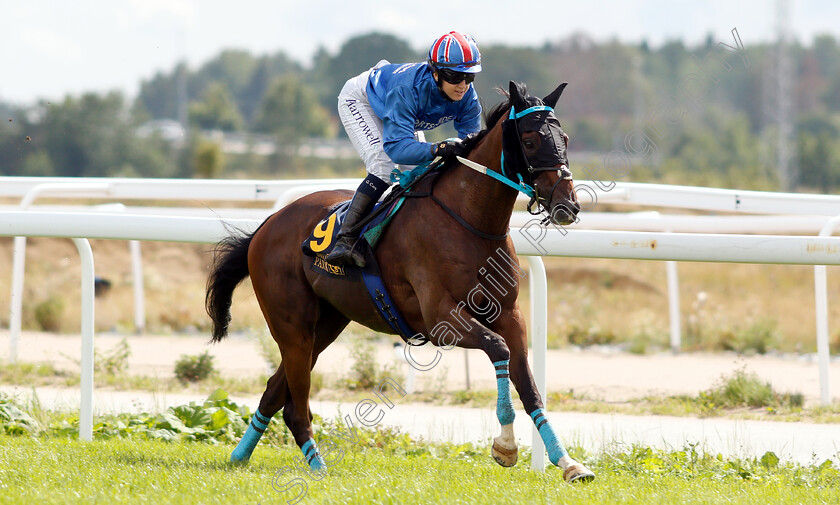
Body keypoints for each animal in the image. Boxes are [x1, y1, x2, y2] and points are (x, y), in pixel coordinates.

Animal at [207, 80, 592, 482]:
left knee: (273, 390)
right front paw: (505, 446)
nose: (568, 204)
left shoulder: (510, 315)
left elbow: (529, 385)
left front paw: (568, 462)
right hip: (292, 325)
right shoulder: (441, 321)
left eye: (564, 137)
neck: (469, 221)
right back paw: (316, 466)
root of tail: (266, 225)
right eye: (530, 140)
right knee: (296, 406)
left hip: (325, 326)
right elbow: (498, 349)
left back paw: (239, 456)